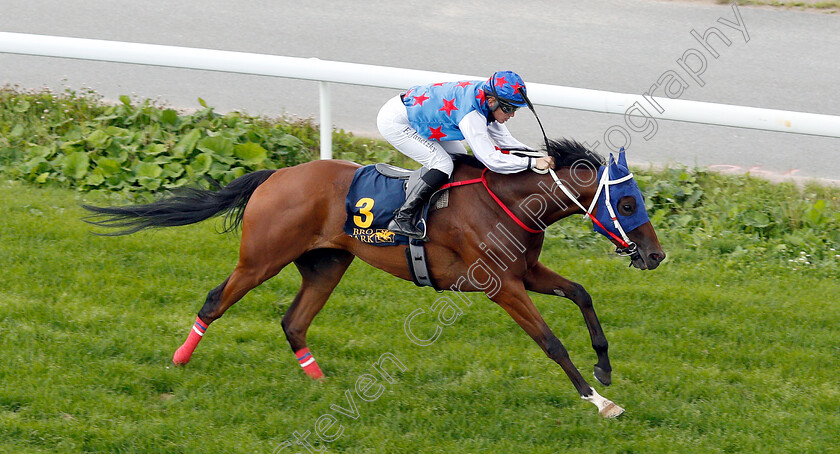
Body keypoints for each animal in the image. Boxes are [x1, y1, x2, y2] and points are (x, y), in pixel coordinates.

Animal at [83, 139, 664, 418]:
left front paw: (605, 368)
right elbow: (550, 342)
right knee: (214, 301)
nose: (656, 255)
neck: (509, 202)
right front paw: (598, 401)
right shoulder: (502, 286)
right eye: (627, 203)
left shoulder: (528, 272)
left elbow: (582, 294)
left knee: (293, 322)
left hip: (326, 264)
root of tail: (276, 175)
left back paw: (319, 381)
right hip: (260, 260)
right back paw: (180, 361)